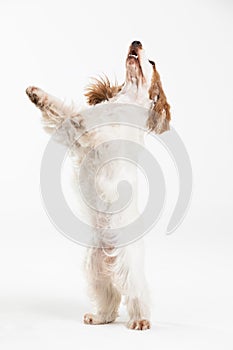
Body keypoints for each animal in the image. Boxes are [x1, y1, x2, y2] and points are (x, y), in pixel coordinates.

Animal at [26, 41, 171, 330]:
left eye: (151, 62)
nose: (136, 41)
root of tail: (109, 254)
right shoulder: (73, 133)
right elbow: (62, 112)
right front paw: (35, 94)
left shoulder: (98, 138)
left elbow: (77, 118)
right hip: (93, 271)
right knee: (110, 300)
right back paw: (98, 317)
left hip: (129, 269)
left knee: (137, 296)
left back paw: (140, 321)